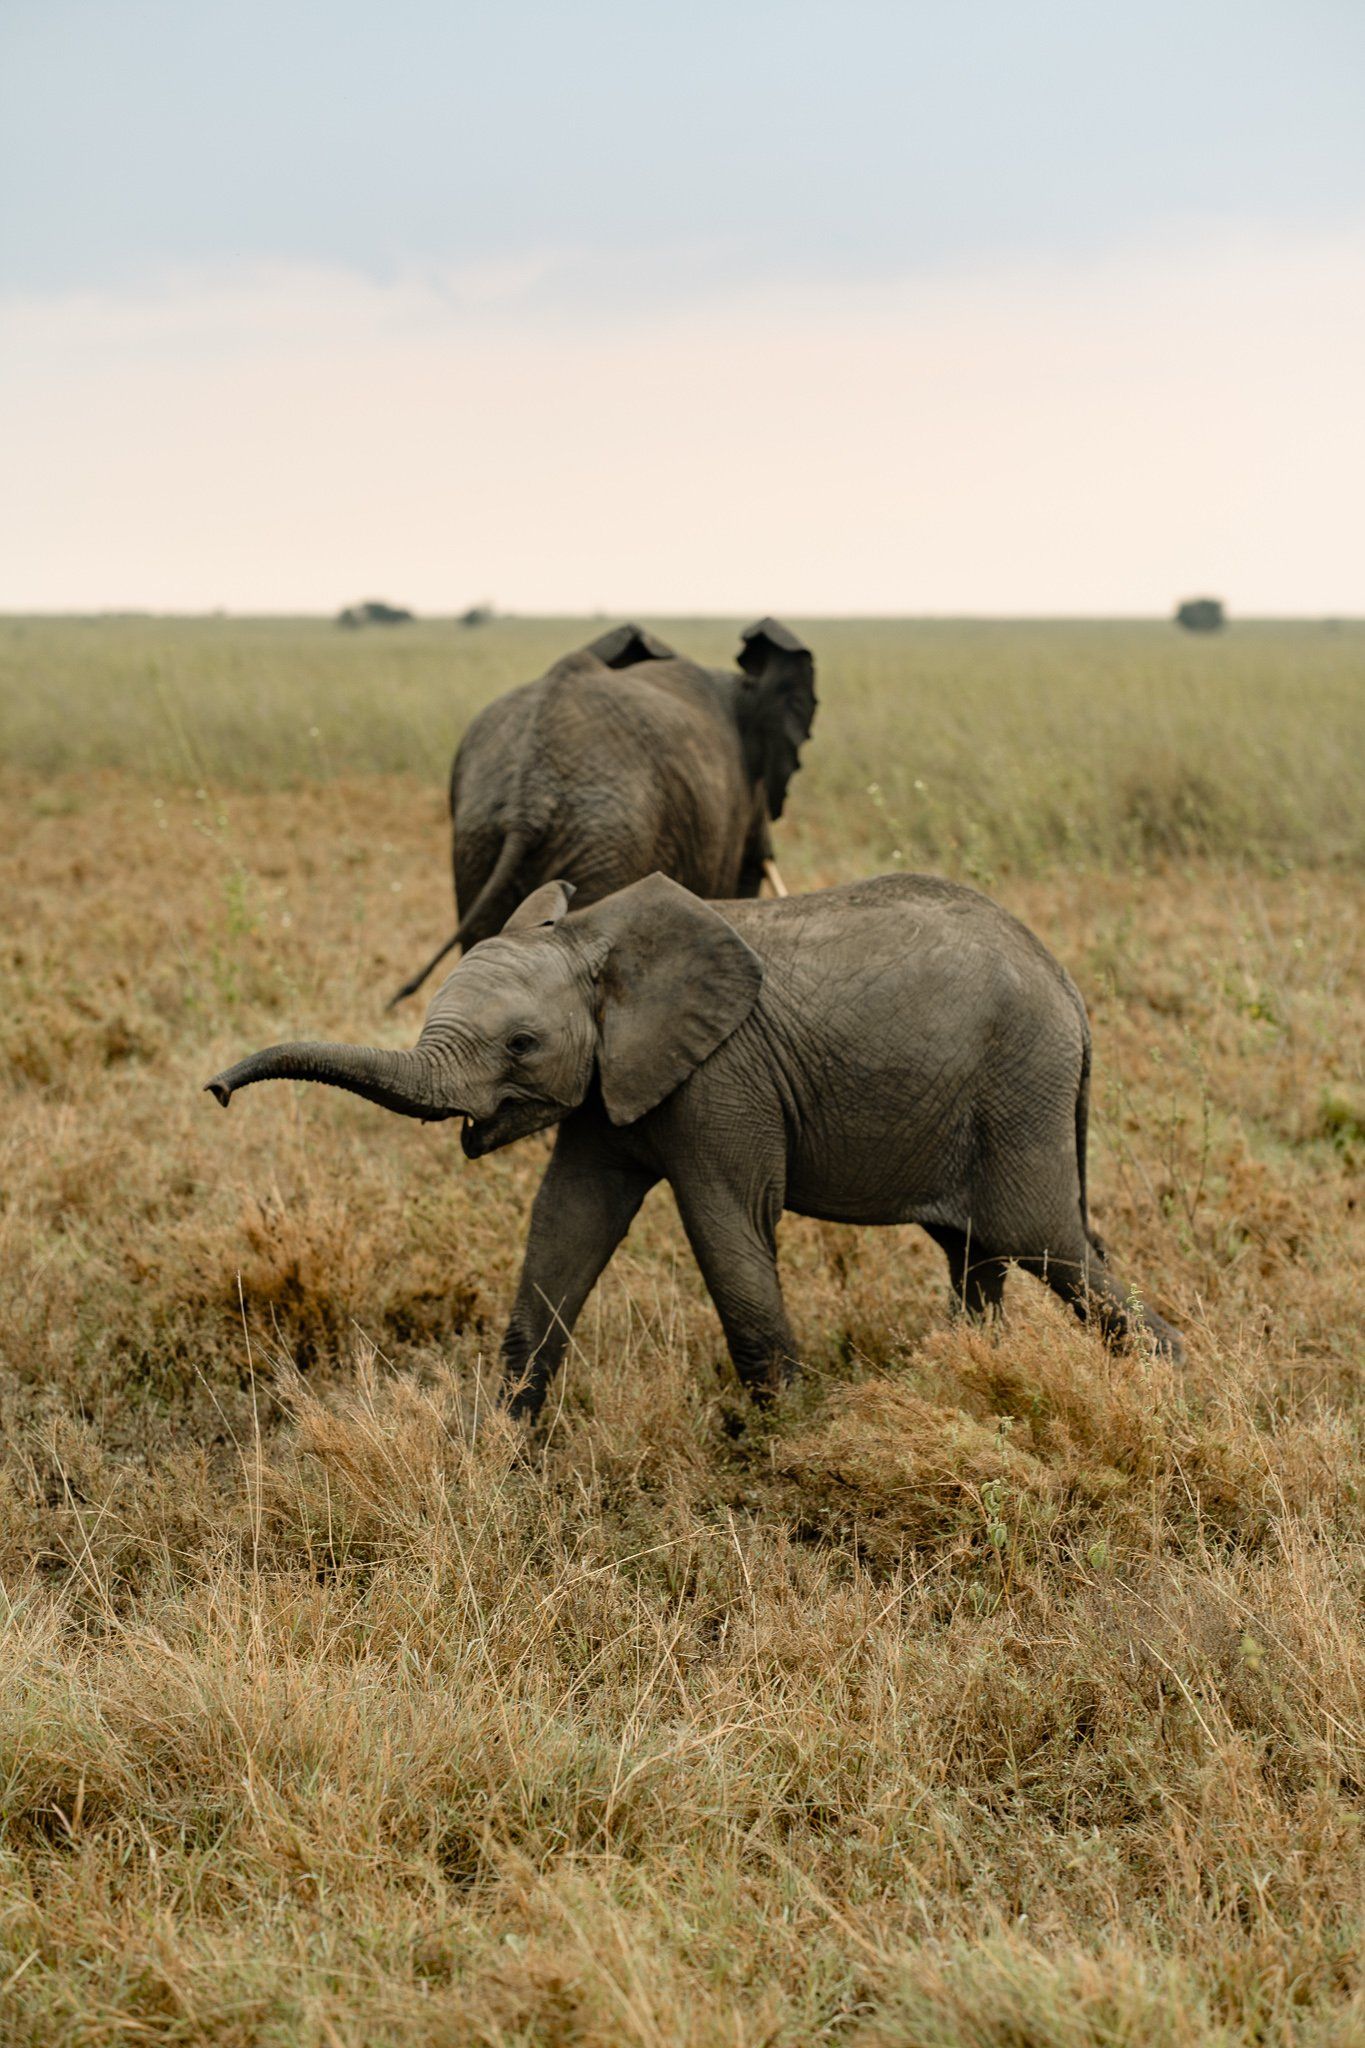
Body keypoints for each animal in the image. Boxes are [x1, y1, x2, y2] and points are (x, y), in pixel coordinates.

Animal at [207, 870, 1183, 1420]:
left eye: (521, 1044)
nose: (217, 1090)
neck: (597, 939)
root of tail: (1069, 986)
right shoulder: (613, 1085)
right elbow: (565, 1225)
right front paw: (497, 1447)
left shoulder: (722, 1076)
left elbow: (727, 1227)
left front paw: (786, 1450)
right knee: (976, 1253)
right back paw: (967, 1382)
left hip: (1018, 1085)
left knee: (1042, 1243)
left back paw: (1170, 1392)